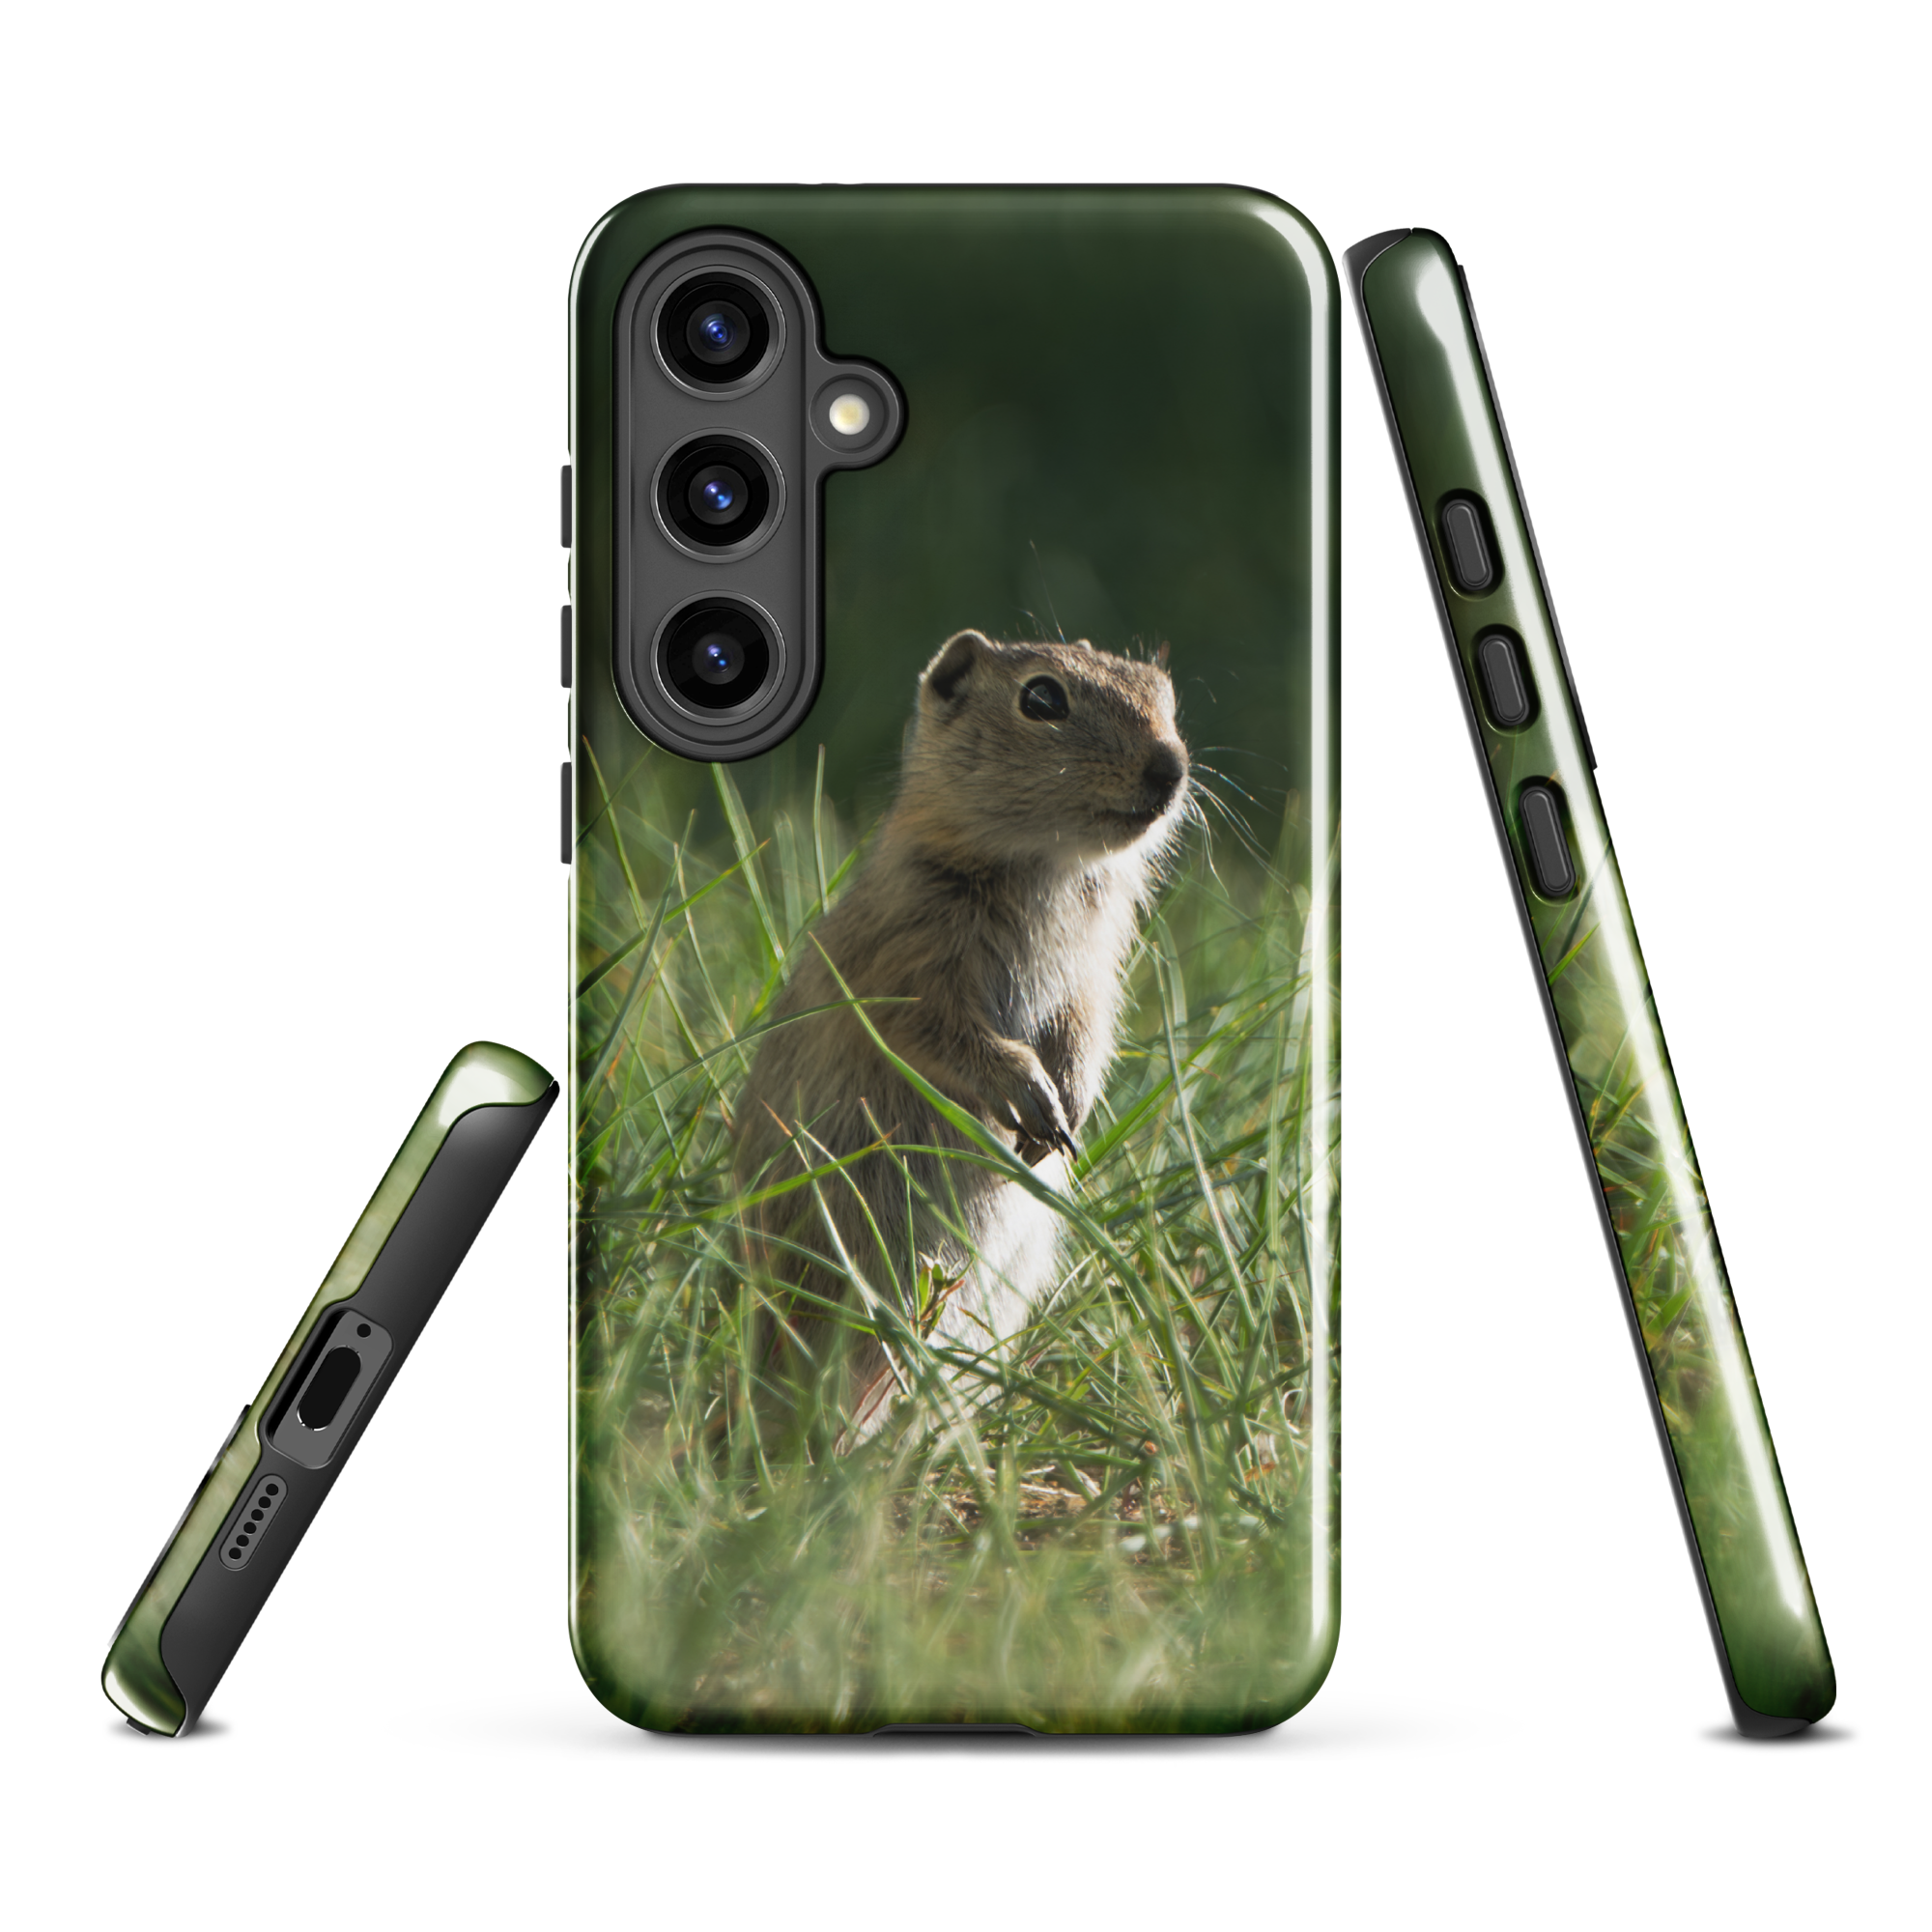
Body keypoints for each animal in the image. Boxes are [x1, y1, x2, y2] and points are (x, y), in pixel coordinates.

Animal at [735, 629, 1190, 1446]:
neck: (1047, 867)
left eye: (1165, 698)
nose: (1169, 769)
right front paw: (1033, 1101)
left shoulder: (1095, 976)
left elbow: (1086, 1033)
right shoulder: (908, 965)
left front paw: (1065, 1117)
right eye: (1042, 697)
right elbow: (946, 1034)